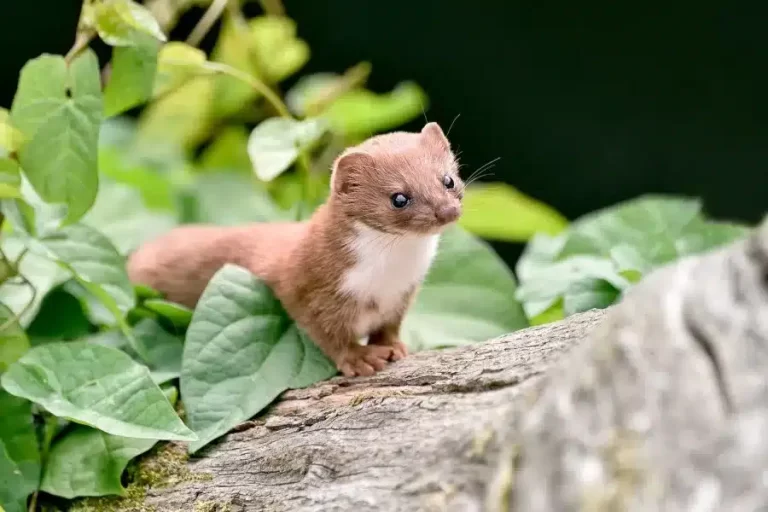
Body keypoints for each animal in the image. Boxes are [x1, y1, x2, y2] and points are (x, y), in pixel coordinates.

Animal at [127, 121, 462, 374]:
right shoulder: (306, 288)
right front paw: (360, 358)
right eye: (399, 198)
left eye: (448, 180)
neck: (385, 279)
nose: (447, 211)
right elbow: (328, 334)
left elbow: (390, 327)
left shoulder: (403, 294)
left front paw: (393, 346)